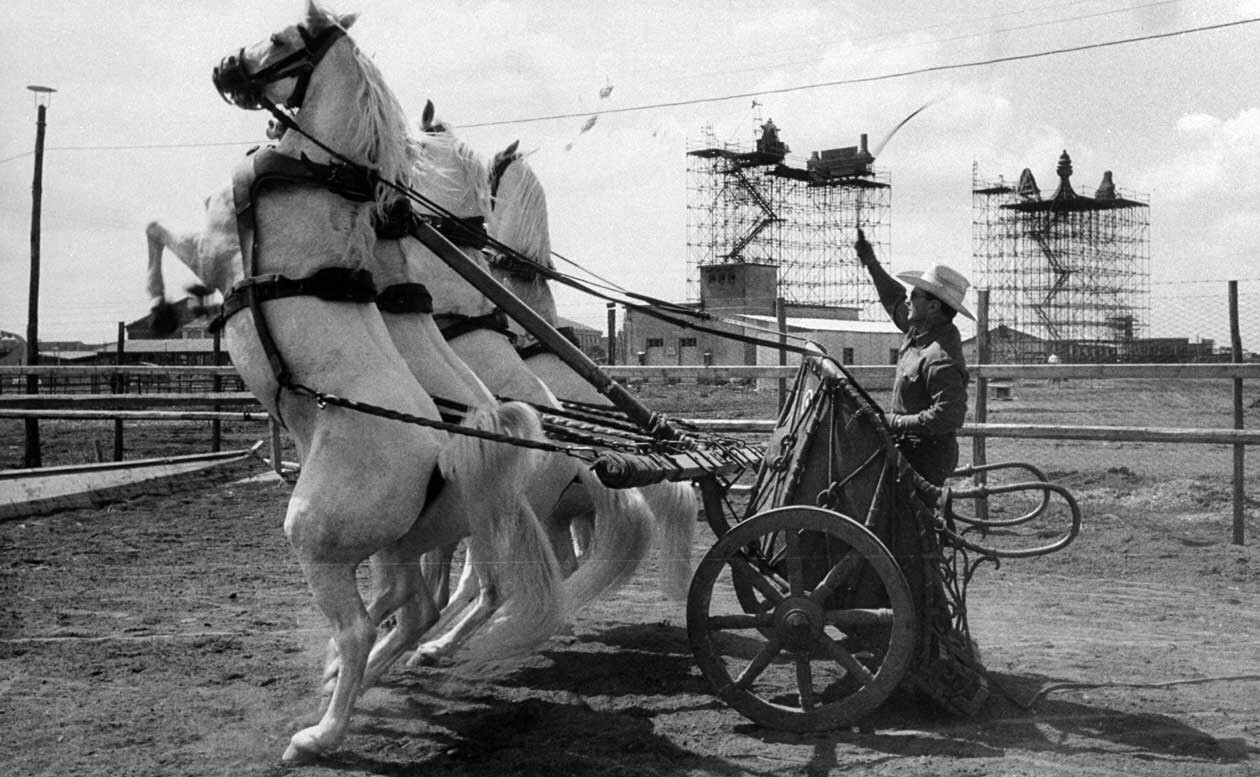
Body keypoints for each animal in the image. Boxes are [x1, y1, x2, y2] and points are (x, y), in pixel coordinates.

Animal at [205, 3, 561, 755]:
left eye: (280, 37)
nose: (224, 68)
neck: (317, 175)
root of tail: (444, 450)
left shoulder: (219, 226)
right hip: (404, 538)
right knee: (423, 601)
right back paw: (372, 676)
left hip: (318, 537)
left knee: (375, 620)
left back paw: (322, 730)